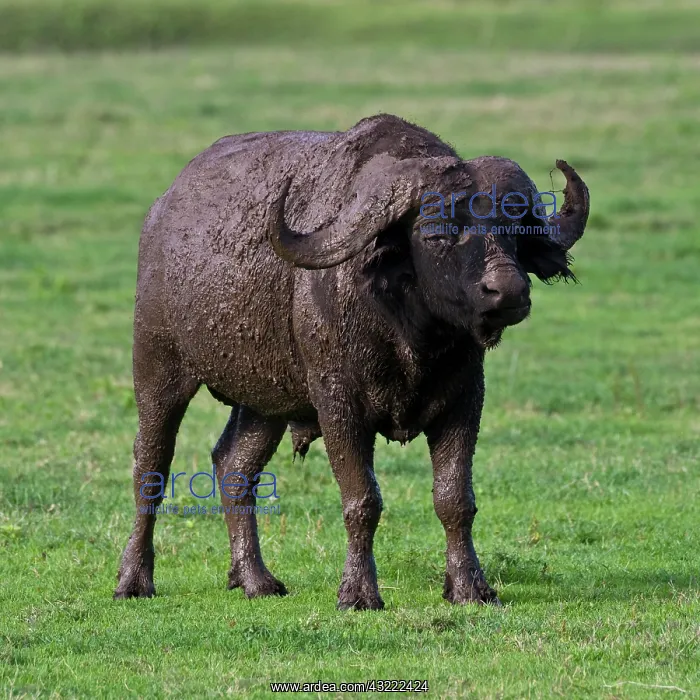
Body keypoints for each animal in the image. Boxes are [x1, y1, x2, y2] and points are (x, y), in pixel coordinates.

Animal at [115, 114, 589, 609]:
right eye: (437, 233)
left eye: (513, 231)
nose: (508, 291)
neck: (408, 334)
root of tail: (162, 213)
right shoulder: (338, 405)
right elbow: (363, 500)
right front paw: (359, 592)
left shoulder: (464, 402)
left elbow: (455, 499)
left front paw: (469, 586)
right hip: (157, 368)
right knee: (150, 465)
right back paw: (134, 579)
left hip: (265, 401)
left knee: (234, 466)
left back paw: (254, 579)